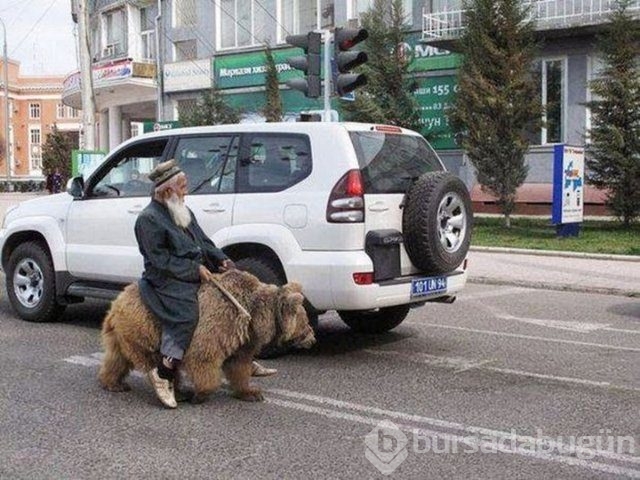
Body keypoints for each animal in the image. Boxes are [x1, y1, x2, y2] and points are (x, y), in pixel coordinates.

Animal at [97, 268, 316, 404]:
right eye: (306, 322)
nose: (313, 339)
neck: (253, 315)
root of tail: (116, 302)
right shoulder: (221, 323)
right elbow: (204, 356)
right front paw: (201, 394)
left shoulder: (243, 339)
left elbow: (238, 365)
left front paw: (252, 392)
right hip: (147, 327)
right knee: (154, 359)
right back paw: (170, 389)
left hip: (122, 333)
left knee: (117, 358)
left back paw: (114, 383)